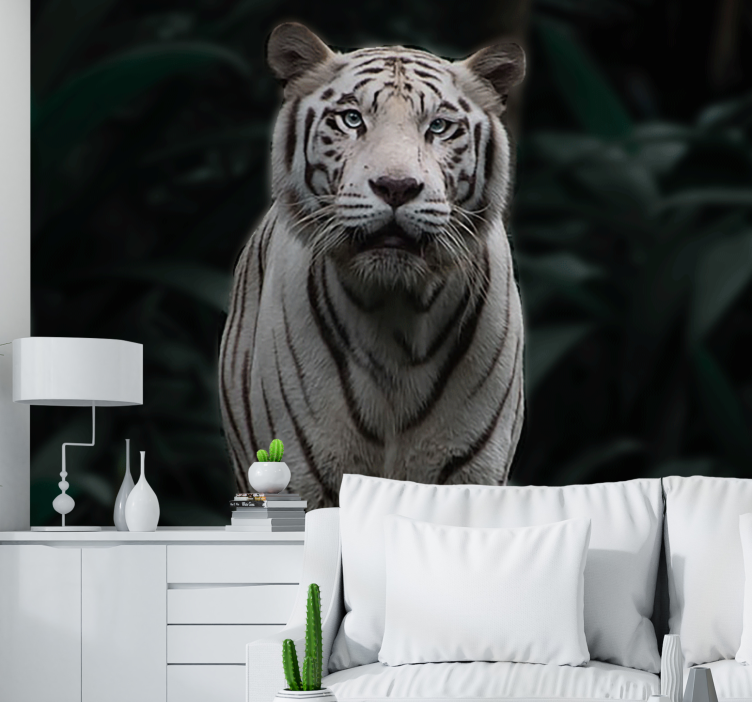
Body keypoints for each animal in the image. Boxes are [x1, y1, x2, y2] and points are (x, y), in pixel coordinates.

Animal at [219, 22, 526, 509]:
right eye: (351, 119)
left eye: (438, 126)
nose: (396, 186)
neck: (398, 316)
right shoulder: (306, 474)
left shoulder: (471, 471)